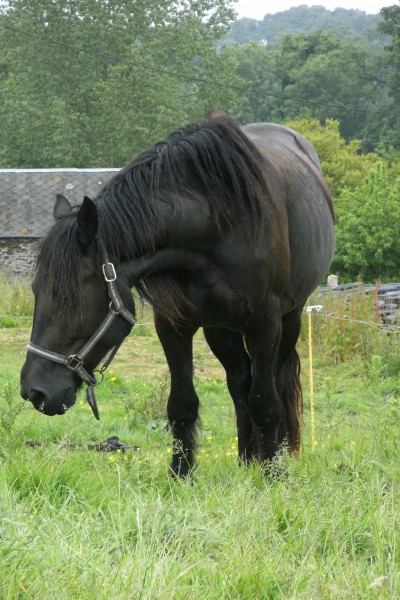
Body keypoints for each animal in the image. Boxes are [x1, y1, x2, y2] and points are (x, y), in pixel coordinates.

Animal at [21, 115, 334, 476]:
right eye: (36, 289)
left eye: (70, 298)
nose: (34, 391)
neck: (220, 225)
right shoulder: (173, 325)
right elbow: (182, 404)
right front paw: (181, 474)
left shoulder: (265, 324)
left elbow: (266, 403)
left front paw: (272, 475)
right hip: (220, 329)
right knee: (239, 386)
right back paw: (245, 461)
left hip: (290, 320)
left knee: (275, 387)